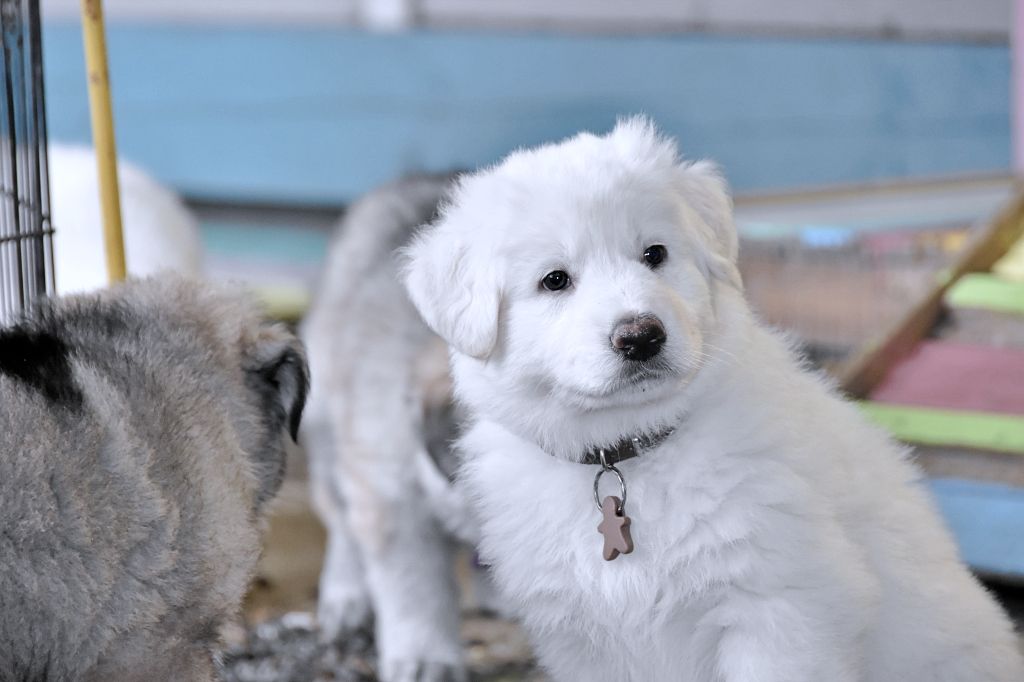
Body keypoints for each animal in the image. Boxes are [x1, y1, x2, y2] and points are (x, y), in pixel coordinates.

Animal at [303, 175, 481, 682]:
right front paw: (426, 660)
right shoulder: (393, 503)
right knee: (342, 525)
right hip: (329, 433)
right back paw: (346, 597)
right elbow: (416, 589)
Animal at [401, 118, 1024, 681]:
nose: (641, 337)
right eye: (555, 280)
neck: (625, 455)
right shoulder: (583, 641)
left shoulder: (777, 609)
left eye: (654, 254)